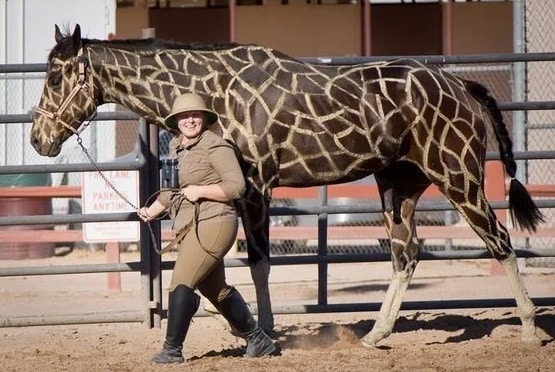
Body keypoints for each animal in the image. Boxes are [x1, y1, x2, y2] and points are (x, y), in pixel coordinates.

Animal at [28, 24, 544, 346]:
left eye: (56, 76)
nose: (38, 139)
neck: (213, 90)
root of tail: (462, 87)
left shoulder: (255, 183)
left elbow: (259, 263)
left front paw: (266, 330)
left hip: (458, 175)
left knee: (499, 240)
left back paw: (529, 329)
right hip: (400, 186)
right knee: (407, 254)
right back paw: (375, 335)